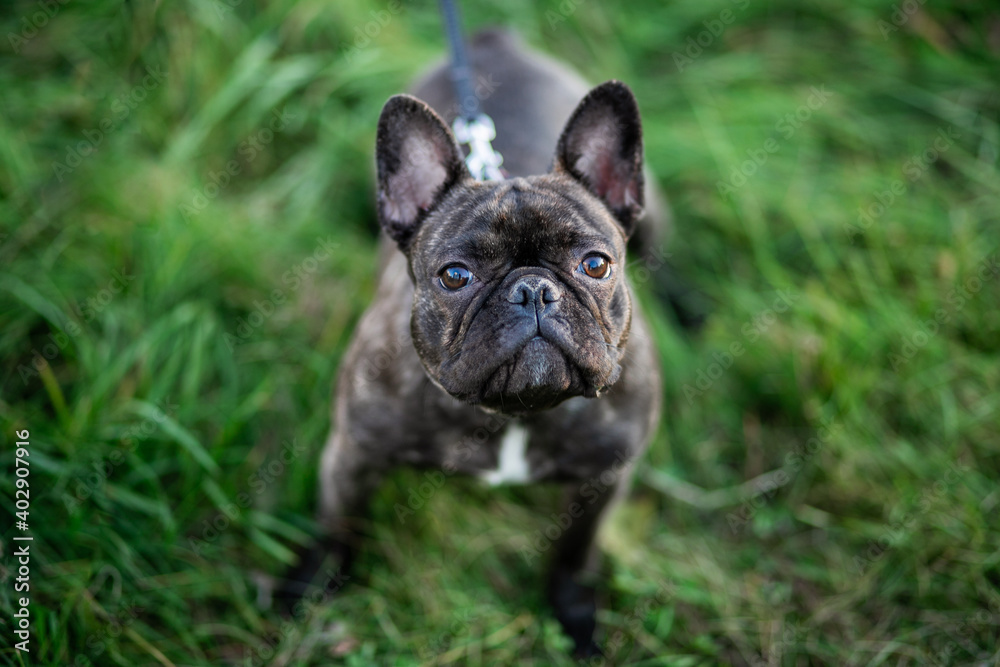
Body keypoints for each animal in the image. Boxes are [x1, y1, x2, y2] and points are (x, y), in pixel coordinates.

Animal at [278, 30, 664, 656]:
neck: (514, 415)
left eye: (596, 264)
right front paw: (310, 587)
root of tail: (492, 38)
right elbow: (338, 526)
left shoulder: (605, 476)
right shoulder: (352, 453)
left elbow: (575, 552)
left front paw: (575, 618)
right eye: (455, 276)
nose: (533, 290)